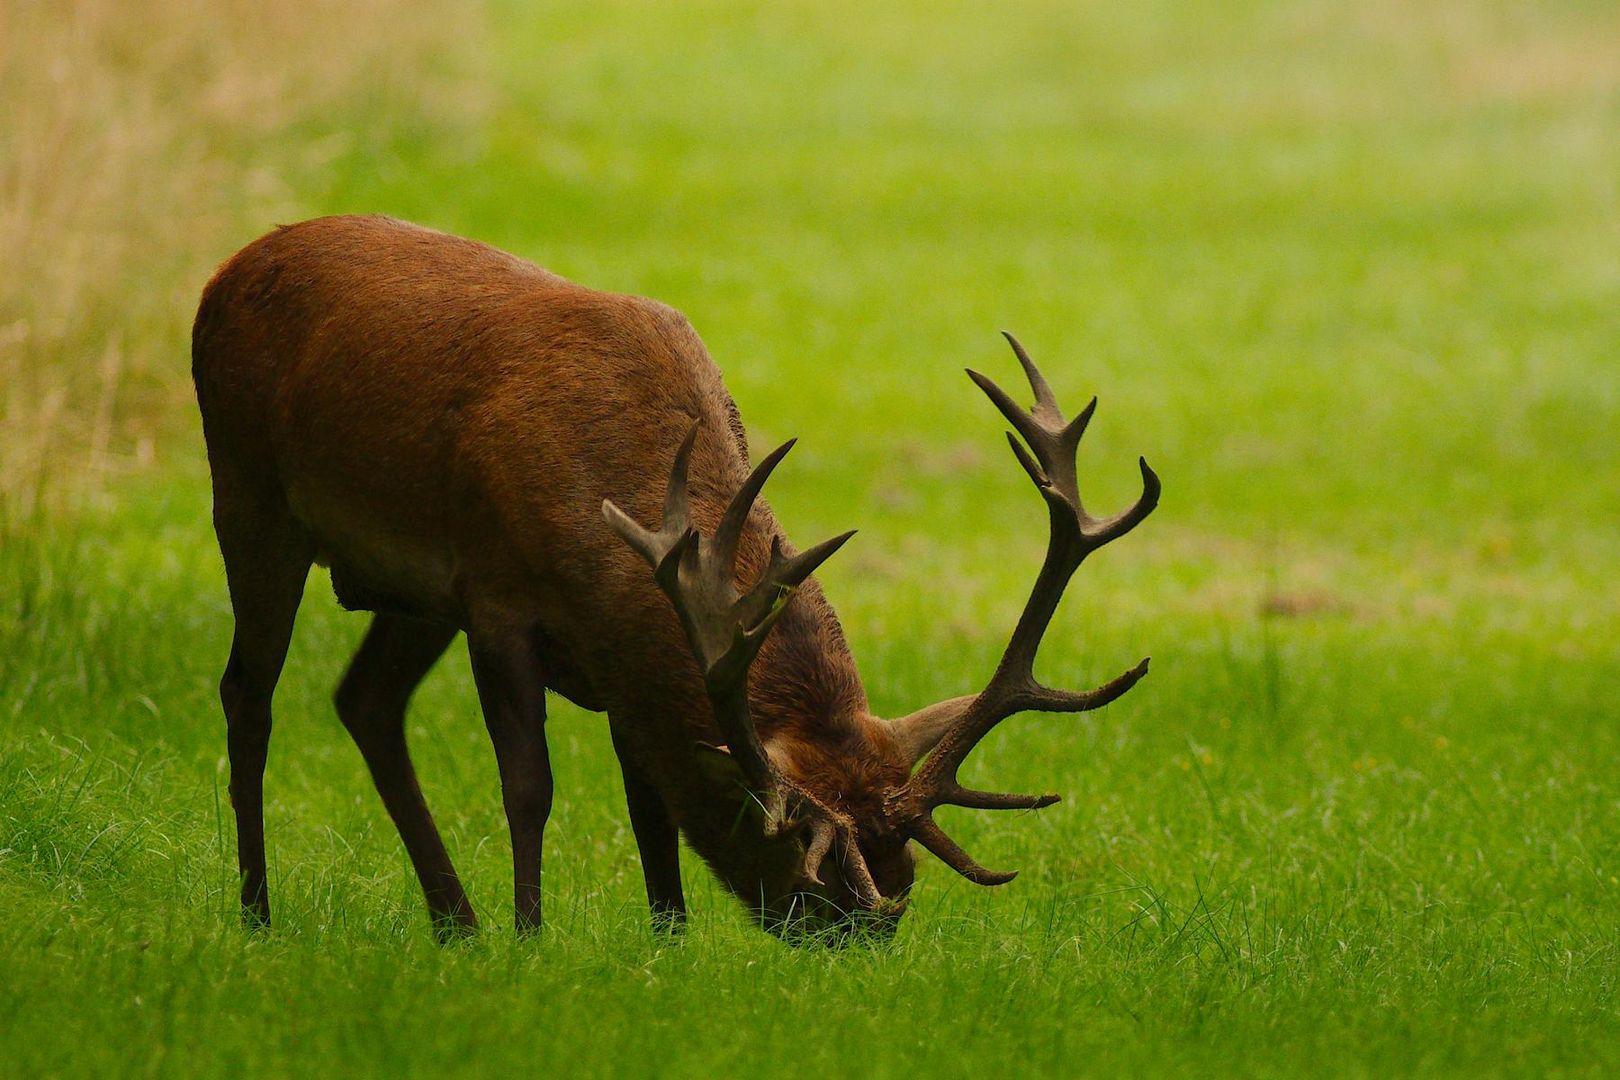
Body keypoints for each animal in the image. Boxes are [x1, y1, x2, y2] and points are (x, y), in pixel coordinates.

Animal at [192, 216, 1153, 945]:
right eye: (795, 848)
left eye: (902, 866)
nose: (861, 935)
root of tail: (222, 274)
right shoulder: (499, 596)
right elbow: (529, 784)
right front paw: (531, 938)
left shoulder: (615, 657)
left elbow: (647, 799)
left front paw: (668, 940)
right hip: (249, 491)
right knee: (248, 692)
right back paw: (258, 912)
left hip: (413, 594)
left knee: (364, 700)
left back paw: (454, 921)